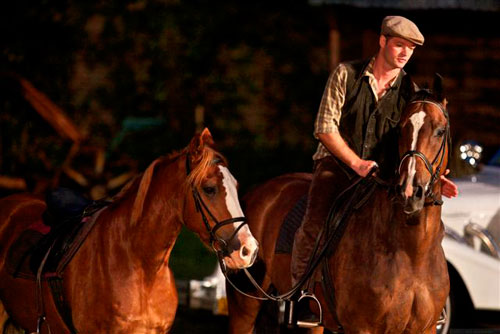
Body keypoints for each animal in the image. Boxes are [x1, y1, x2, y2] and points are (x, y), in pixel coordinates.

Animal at [229, 82, 452, 332]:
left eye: (440, 131)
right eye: (401, 130)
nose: (410, 191)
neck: (411, 252)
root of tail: (255, 193)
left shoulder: (425, 328)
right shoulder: (361, 327)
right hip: (244, 306)